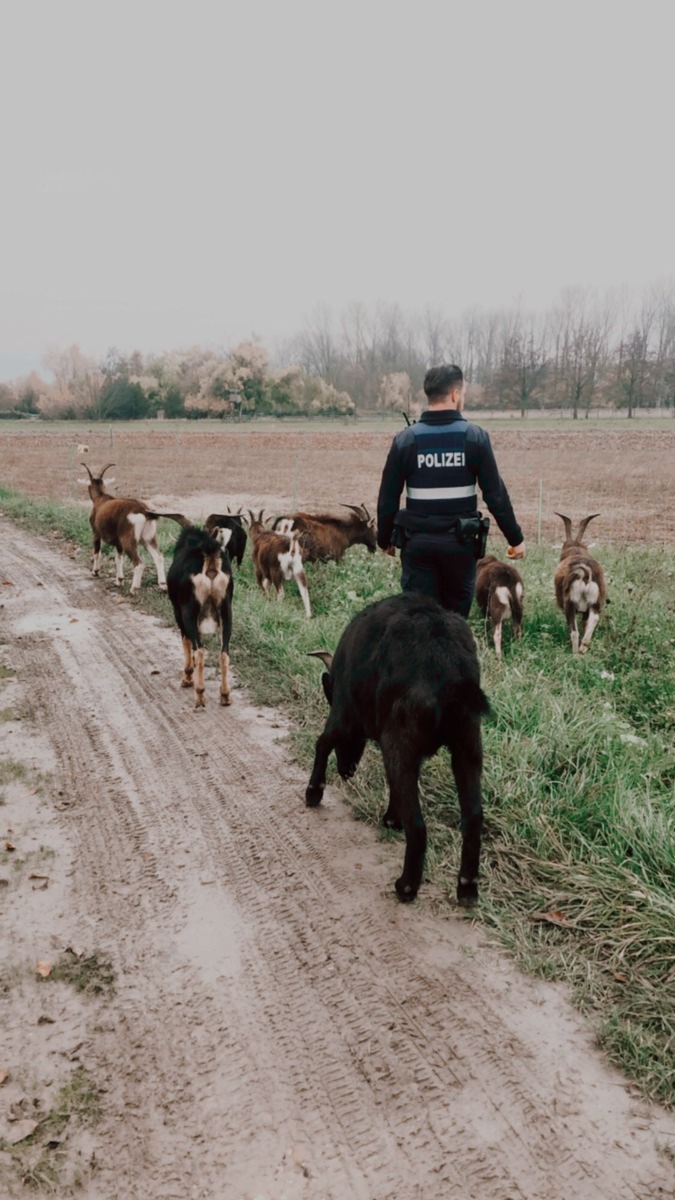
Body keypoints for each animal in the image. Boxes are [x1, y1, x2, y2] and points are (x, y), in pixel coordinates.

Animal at [83, 463, 192, 595]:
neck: (101, 498)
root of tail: (145, 512)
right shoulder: (118, 542)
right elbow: (119, 558)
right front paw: (119, 580)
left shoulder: (96, 533)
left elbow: (97, 552)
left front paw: (95, 572)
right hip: (149, 539)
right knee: (158, 557)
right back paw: (162, 585)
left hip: (128, 540)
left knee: (139, 563)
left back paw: (134, 589)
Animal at [165, 523, 234, 705]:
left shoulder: (179, 611)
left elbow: (186, 641)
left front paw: (188, 677)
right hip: (226, 609)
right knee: (224, 652)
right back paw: (225, 695)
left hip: (189, 611)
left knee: (200, 650)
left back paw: (200, 693)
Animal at [306, 590, 487, 902]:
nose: (346, 771)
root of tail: (446, 662)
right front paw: (392, 818)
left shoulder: (344, 713)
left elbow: (323, 742)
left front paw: (313, 792)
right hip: (468, 745)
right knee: (473, 817)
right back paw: (466, 887)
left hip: (400, 741)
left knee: (418, 824)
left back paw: (407, 886)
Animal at [552, 508, 605, 657]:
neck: (575, 550)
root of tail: (585, 574)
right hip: (595, 602)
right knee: (594, 619)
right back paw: (583, 648)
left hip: (570, 603)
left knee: (574, 632)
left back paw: (575, 653)